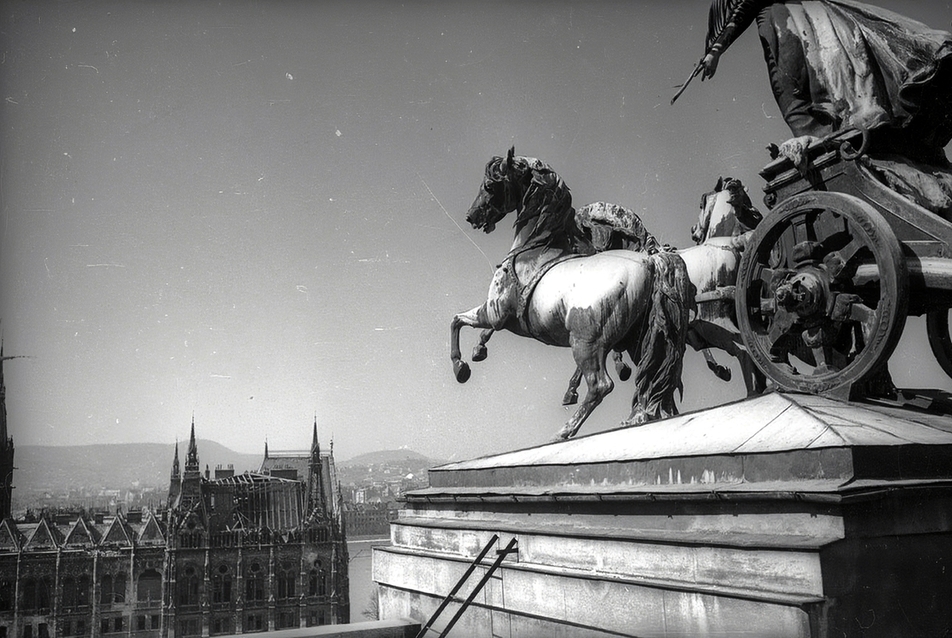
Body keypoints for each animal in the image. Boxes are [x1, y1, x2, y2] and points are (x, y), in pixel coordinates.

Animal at [450, 149, 688, 440]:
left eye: (490, 185)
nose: (471, 216)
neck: (535, 246)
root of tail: (650, 262)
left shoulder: (494, 312)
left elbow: (457, 320)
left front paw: (461, 366)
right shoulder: (499, 317)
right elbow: (469, 325)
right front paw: (476, 350)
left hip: (586, 343)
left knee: (601, 385)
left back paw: (565, 430)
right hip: (641, 341)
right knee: (655, 379)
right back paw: (642, 417)